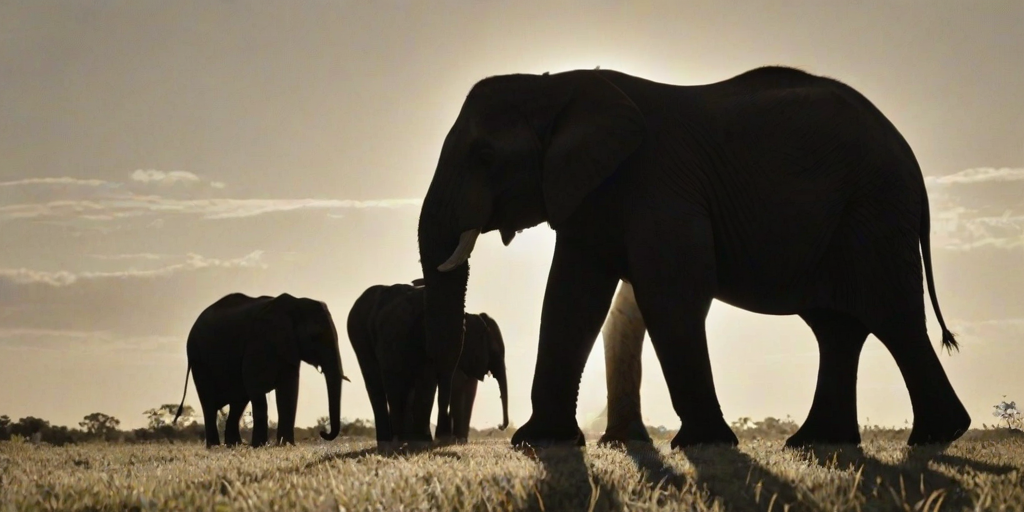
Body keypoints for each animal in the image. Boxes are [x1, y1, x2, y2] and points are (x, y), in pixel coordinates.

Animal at [173, 292, 349, 448]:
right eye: (315, 336)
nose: (322, 433)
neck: (295, 303)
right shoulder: (257, 341)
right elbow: (254, 384)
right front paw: (260, 445)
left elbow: (288, 390)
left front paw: (286, 445)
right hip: (198, 359)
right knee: (210, 403)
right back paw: (215, 446)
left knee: (239, 401)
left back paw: (235, 445)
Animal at [346, 280, 509, 447]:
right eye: (495, 352)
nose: (500, 426)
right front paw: (449, 440)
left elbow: (468, 388)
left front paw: (458, 441)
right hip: (360, 336)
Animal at [415, 65, 971, 450]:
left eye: (485, 157)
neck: (558, 85)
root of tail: (911, 158)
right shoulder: (589, 195)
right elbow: (572, 299)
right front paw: (541, 442)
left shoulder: (660, 184)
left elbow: (672, 292)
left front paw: (704, 443)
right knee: (837, 328)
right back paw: (818, 442)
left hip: (874, 213)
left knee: (892, 317)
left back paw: (936, 437)